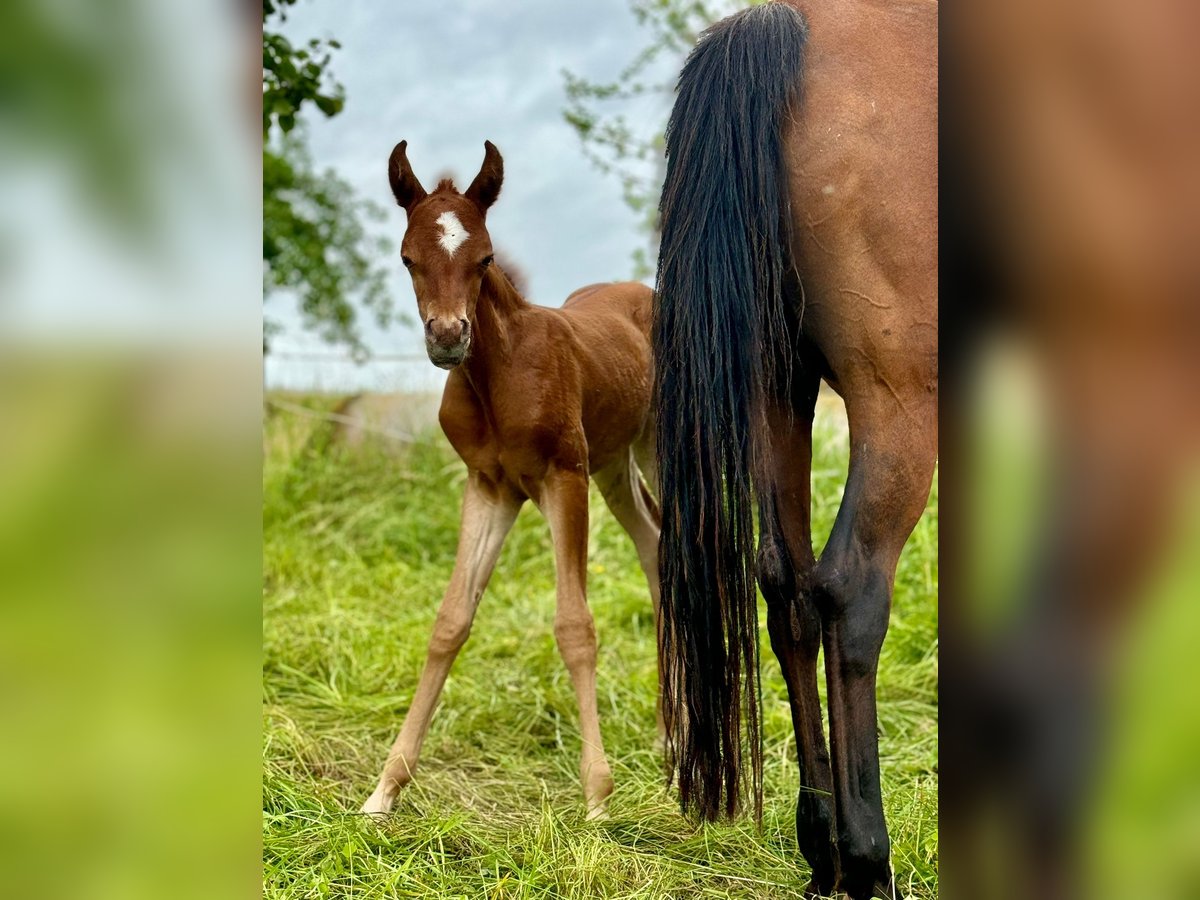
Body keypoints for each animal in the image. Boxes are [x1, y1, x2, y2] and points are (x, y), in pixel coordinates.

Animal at [362, 141, 667, 825]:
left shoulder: (563, 477)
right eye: (407, 257)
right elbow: (450, 621)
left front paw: (597, 799)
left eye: (485, 258)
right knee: (657, 545)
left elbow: (575, 627)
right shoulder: (490, 486)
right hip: (616, 463)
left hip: (658, 448)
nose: (448, 337)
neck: (498, 373)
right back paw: (672, 735)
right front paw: (385, 788)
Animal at [657, 3, 936, 897]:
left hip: (776, 391)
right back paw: (867, 860)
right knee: (849, 590)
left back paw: (821, 852)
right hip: (897, 405)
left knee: (787, 589)